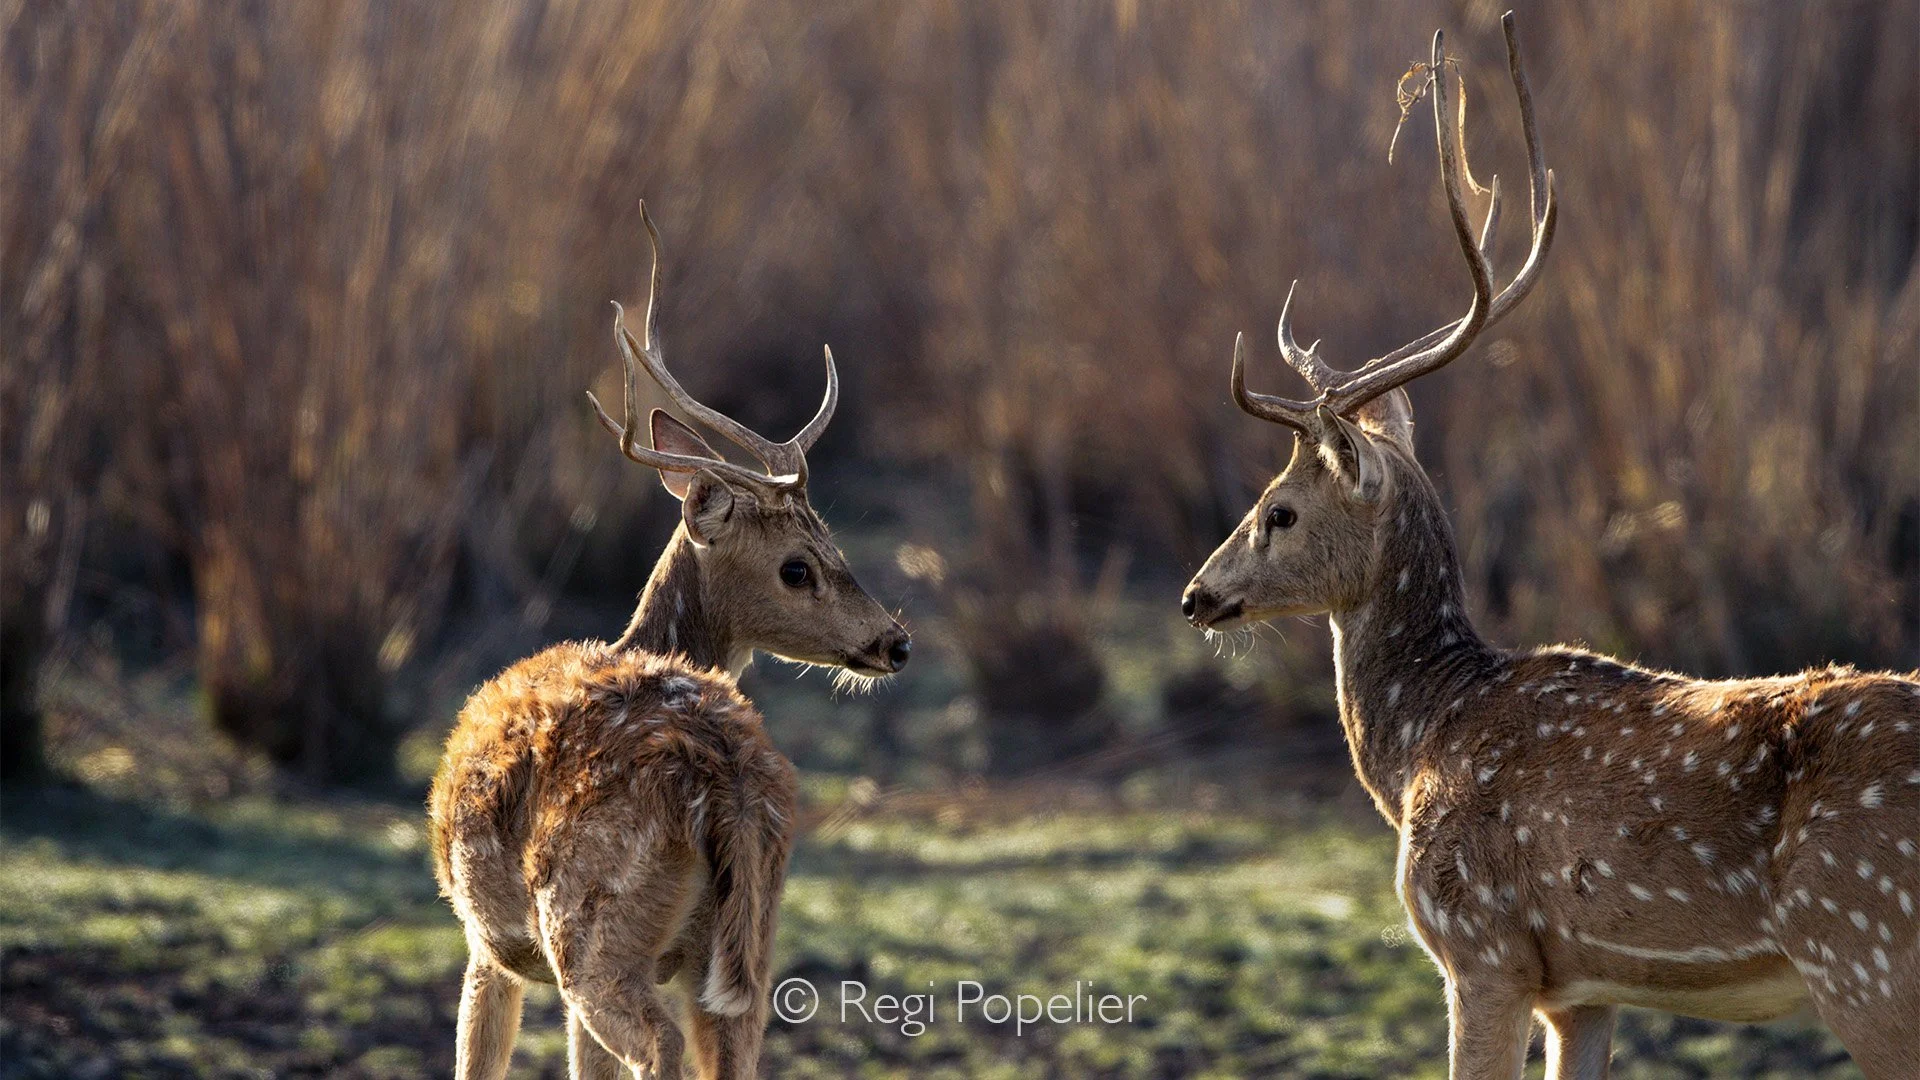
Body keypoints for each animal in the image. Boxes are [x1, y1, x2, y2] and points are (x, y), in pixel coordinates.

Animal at [428, 205, 912, 1080]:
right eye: (800, 563)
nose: (896, 644)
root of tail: (724, 785)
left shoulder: (485, 942)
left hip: (592, 935)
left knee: (657, 1048)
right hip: (745, 944)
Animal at [1182, 15, 1920, 1080]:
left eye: (1277, 509)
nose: (1197, 595)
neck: (1422, 744)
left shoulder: (1481, 948)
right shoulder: (1584, 991)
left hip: (1866, 952)